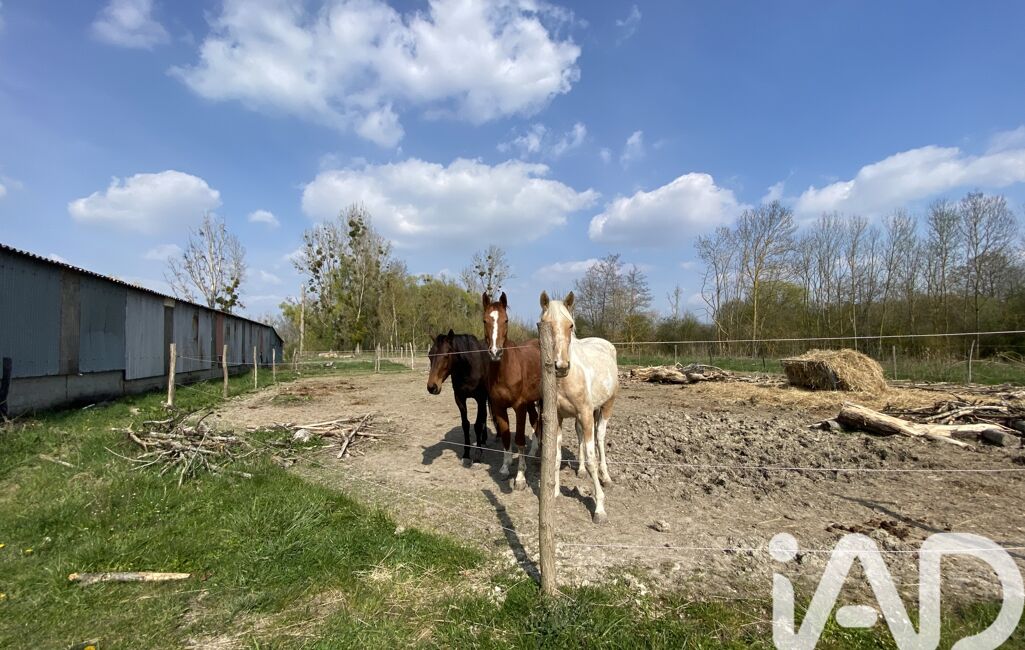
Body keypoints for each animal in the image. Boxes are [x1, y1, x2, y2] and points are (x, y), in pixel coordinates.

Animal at [427, 330, 491, 467]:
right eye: (429, 355)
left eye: (446, 355)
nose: (432, 387)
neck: (469, 368)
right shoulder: (459, 399)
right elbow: (465, 425)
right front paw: (466, 455)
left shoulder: (480, 399)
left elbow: (478, 424)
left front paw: (477, 456)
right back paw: (483, 440)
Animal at [481, 291, 541, 490]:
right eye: (485, 320)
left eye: (506, 320)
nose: (495, 353)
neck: (504, 371)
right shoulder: (499, 408)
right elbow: (506, 437)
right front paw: (505, 468)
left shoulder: (519, 407)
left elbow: (519, 439)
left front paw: (520, 477)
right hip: (531, 402)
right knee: (535, 420)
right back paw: (534, 451)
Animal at [539, 290, 618, 524]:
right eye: (545, 324)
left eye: (571, 325)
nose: (561, 366)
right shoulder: (559, 417)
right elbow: (556, 456)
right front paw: (555, 491)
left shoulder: (586, 414)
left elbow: (592, 458)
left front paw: (599, 508)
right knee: (581, 435)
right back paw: (581, 471)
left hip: (606, 406)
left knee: (599, 437)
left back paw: (606, 477)